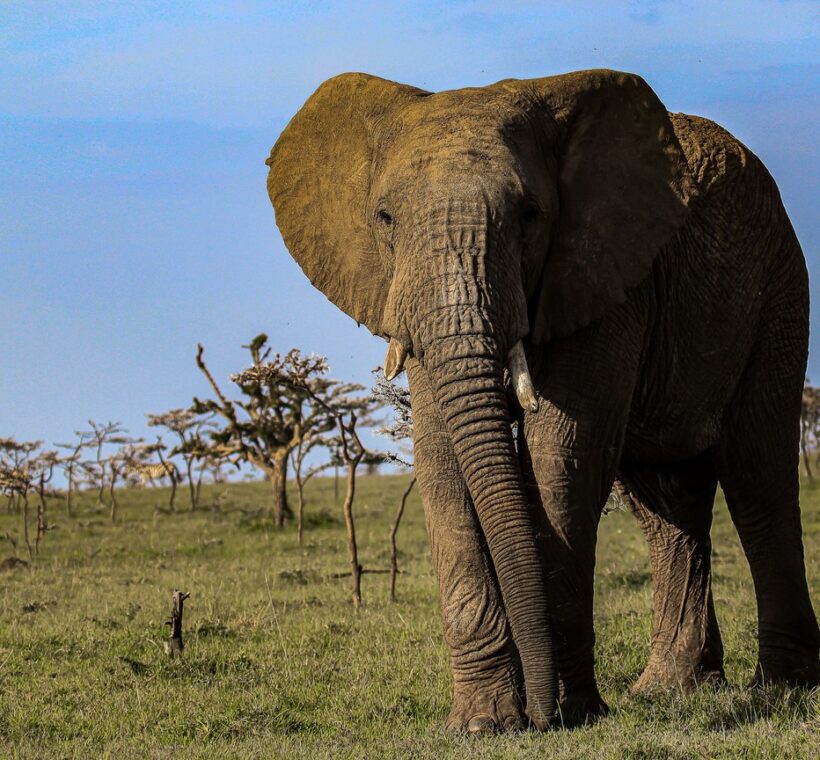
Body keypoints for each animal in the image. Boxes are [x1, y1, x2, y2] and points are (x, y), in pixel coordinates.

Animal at [266, 69, 820, 732]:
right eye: (385, 218)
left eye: (530, 216)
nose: (535, 715)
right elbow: (442, 457)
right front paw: (484, 724)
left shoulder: (603, 274)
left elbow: (561, 452)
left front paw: (567, 712)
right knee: (666, 502)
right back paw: (671, 690)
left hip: (779, 291)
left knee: (757, 475)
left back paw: (783, 686)